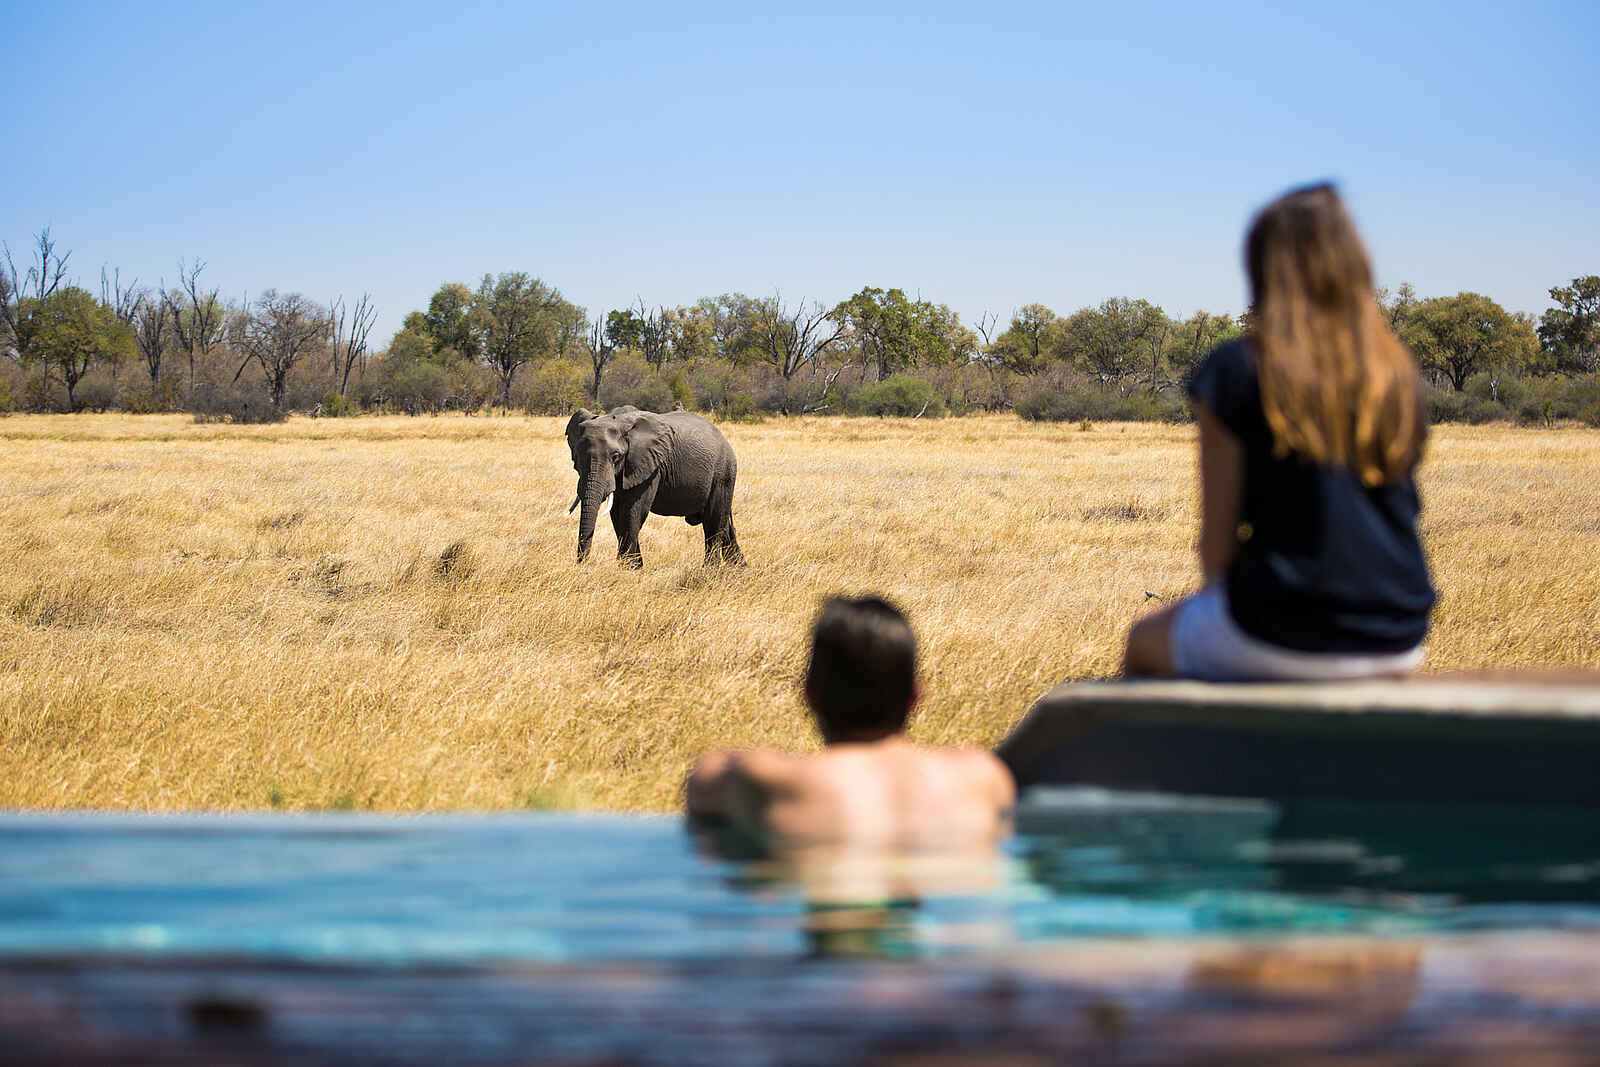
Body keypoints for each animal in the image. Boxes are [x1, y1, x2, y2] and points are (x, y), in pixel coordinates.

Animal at [564, 405, 745, 568]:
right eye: (576, 457)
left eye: (616, 456)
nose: (583, 565)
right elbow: (617, 513)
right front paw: (634, 567)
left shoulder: (650, 466)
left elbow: (633, 511)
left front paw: (628, 568)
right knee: (724, 524)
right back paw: (738, 568)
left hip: (723, 472)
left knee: (714, 521)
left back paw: (711, 570)